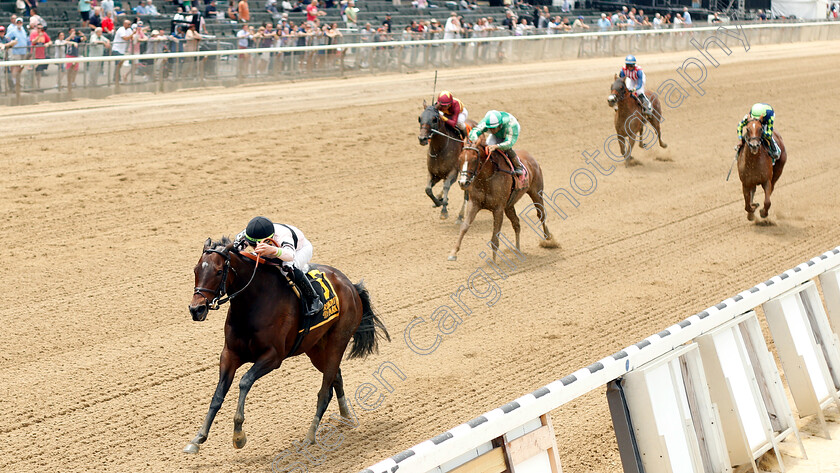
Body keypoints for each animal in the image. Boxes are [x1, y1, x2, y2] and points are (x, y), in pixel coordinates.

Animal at [185, 238, 388, 452]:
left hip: (337, 342)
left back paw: (310, 436)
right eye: (196, 270)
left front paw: (238, 434)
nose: (196, 309)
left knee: (325, 392)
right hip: (315, 349)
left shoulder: (273, 357)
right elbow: (217, 396)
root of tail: (351, 286)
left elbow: (245, 381)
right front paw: (197, 438)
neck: (253, 303)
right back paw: (346, 416)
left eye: (218, 271)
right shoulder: (230, 354)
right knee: (336, 377)